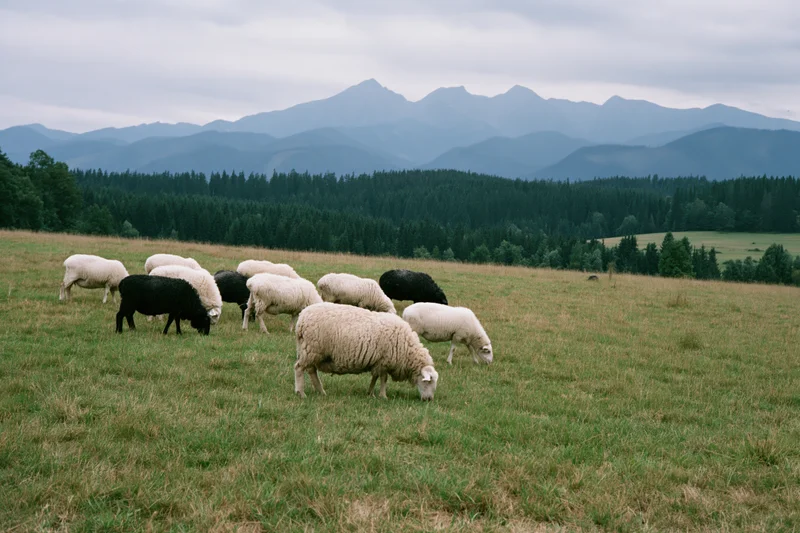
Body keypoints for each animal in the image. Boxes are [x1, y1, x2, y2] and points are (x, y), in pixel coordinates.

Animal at [294, 302, 439, 401]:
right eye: (428, 381)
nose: (429, 400)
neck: (407, 350)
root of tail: (302, 318)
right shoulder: (384, 361)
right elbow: (383, 379)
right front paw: (383, 396)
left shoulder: (378, 362)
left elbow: (375, 377)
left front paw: (370, 393)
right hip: (312, 349)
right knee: (299, 368)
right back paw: (301, 393)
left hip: (310, 350)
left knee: (312, 371)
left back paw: (321, 391)